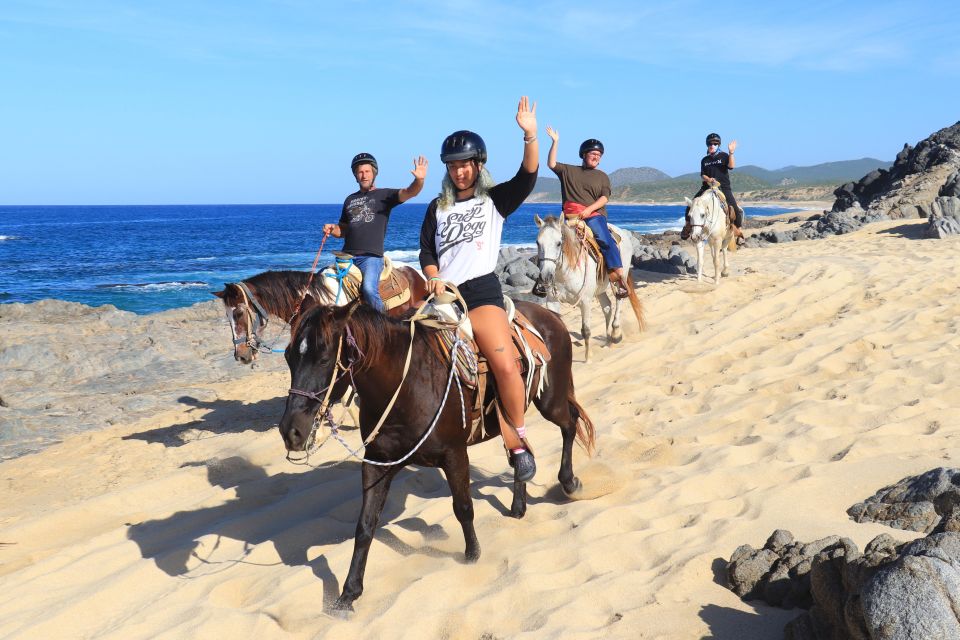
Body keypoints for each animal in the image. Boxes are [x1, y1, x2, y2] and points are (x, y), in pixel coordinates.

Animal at [278, 298, 592, 612]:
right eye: (289, 357)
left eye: (324, 358)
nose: (290, 431)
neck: (406, 386)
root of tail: (549, 313)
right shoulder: (378, 463)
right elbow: (365, 526)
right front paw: (348, 593)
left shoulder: (454, 455)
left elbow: (463, 508)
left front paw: (473, 554)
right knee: (521, 443)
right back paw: (518, 505)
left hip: (550, 400)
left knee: (570, 424)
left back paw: (569, 482)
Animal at [532, 215, 644, 362]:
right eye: (537, 243)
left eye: (558, 243)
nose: (546, 276)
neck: (565, 273)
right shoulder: (552, 302)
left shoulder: (585, 301)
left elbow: (586, 330)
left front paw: (588, 358)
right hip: (600, 289)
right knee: (607, 307)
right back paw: (607, 341)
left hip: (621, 278)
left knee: (619, 300)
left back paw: (615, 335)